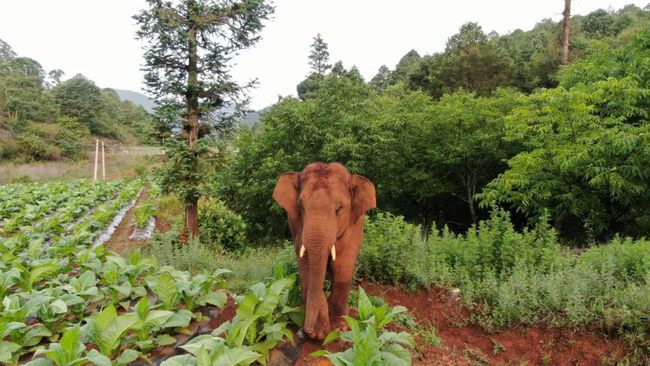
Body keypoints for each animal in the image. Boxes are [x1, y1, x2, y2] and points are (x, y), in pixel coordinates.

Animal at [272, 163, 374, 340]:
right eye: (300, 206)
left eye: (339, 208)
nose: (305, 331)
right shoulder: (298, 227)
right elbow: (306, 266)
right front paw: (318, 332)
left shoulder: (352, 228)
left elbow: (342, 265)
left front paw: (340, 327)